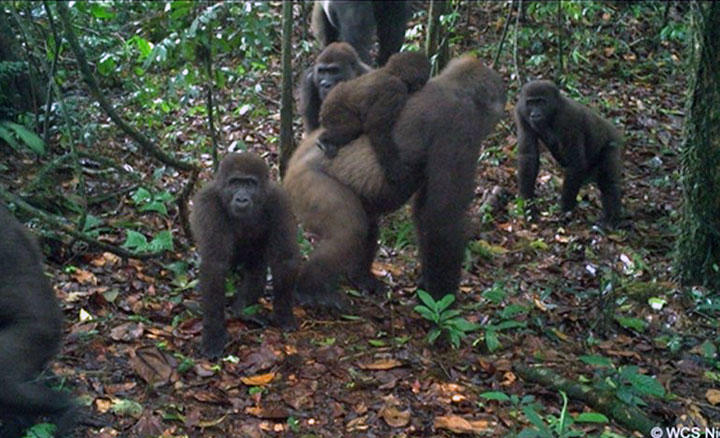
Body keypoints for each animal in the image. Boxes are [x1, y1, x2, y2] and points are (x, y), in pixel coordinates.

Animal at [190, 152, 300, 358]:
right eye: (235, 183)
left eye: (250, 184)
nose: (241, 199)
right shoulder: (208, 204)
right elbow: (214, 265)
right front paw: (213, 332)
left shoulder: (279, 201)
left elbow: (283, 258)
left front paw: (283, 313)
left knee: (257, 268)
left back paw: (242, 310)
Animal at [318, 50, 430, 183]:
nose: (421, 85)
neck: (391, 72)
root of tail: (325, 103)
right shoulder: (394, 89)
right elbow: (376, 128)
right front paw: (395, 170)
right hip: (334, 108)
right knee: (351, 127)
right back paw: (324, 140)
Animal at [512, 80, 624, 228]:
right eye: (530, 102)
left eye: (541, 102)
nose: (535, 114)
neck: (554, 109)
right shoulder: (521, 112)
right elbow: (528, 157)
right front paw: (528, 204)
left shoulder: (568, 118)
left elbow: (576, 163)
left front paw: (565, 210)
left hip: (613, 141)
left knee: (608, 181)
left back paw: (611, 220)